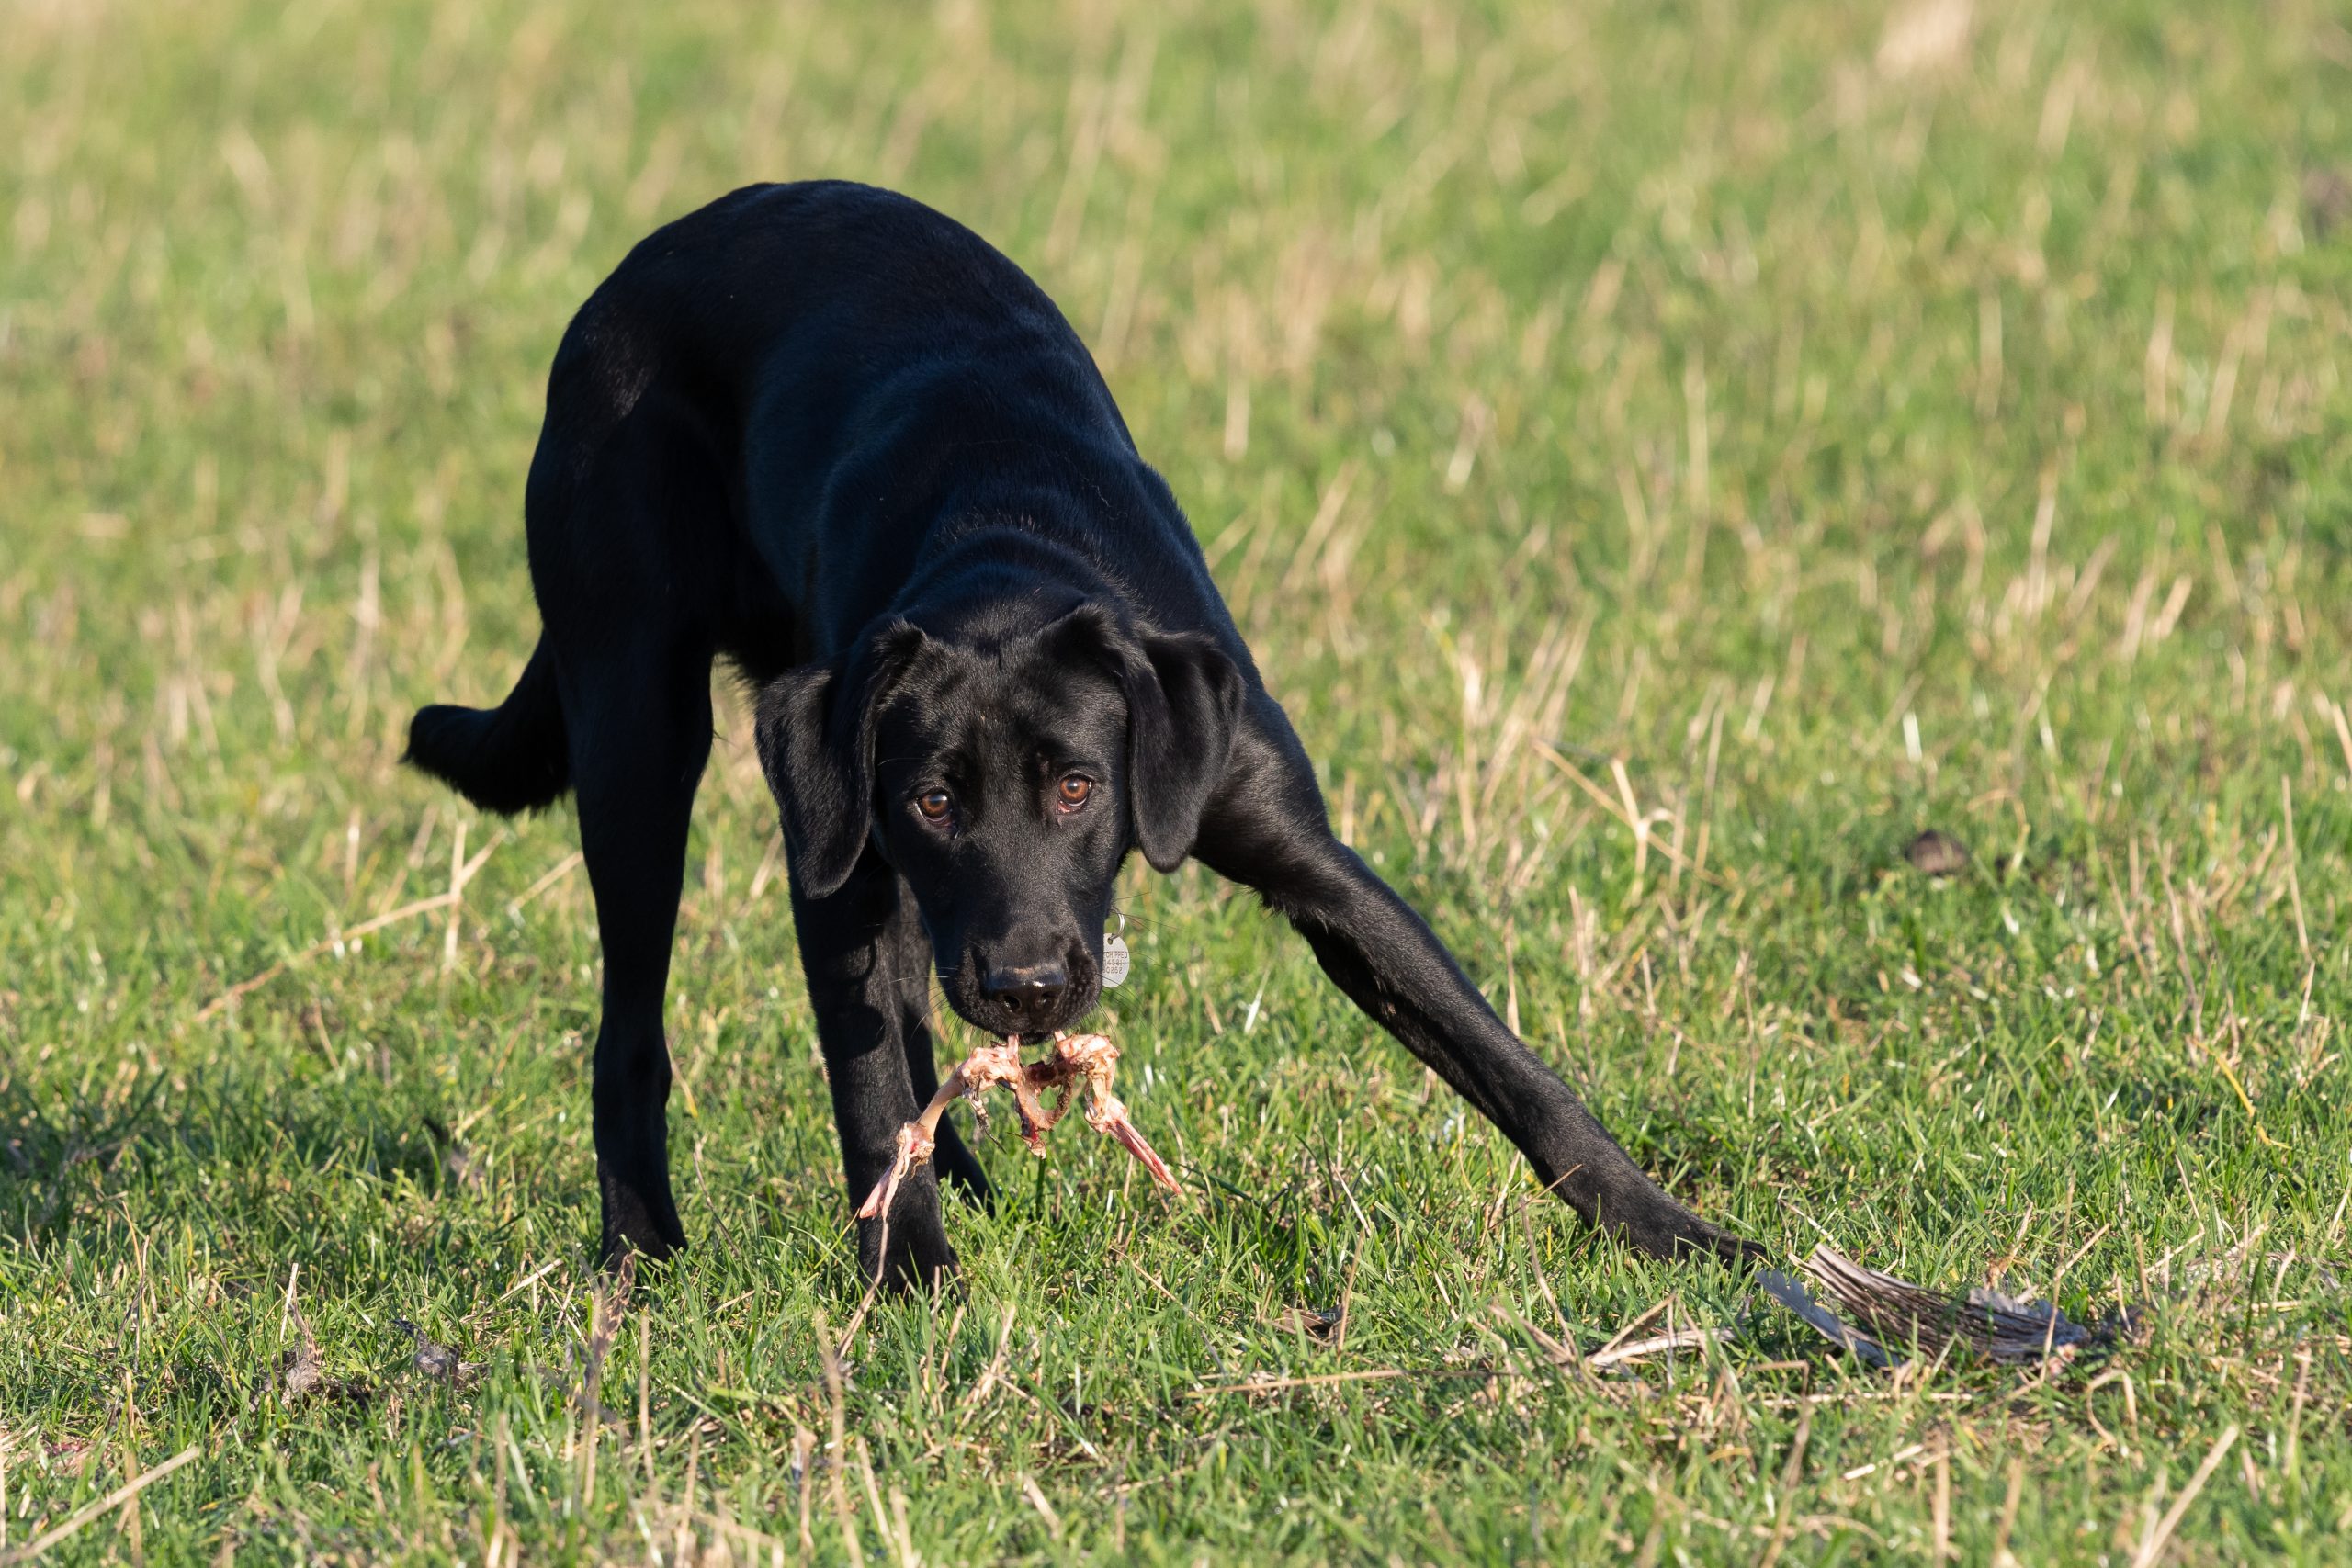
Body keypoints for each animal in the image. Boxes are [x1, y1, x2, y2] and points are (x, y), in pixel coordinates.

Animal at [409, 184, 1769, 1288]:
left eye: (1076, 788)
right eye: (936, 801)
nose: (1024, 986)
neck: (1002, 549)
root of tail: (635, 267)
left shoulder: (1297, 845)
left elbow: (1508, 1065)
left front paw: (1683, 1238)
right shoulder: (839, 861)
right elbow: (867, 1088)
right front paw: (913, 1283)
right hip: (639, 726)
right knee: (633, 1032)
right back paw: (640, 1253)